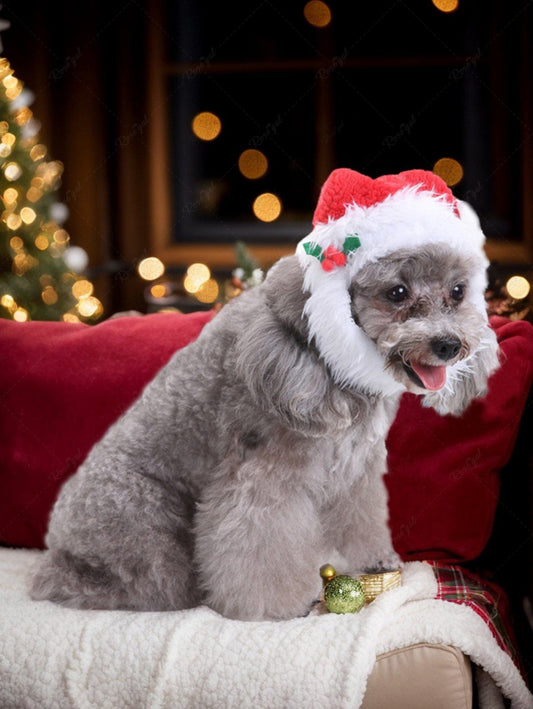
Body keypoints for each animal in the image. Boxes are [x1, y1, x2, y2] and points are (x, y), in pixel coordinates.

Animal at [30, 169, 498, 616]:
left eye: (458, 292)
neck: (324, 355)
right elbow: (260, 544)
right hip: (144, 521)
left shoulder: (356, 468)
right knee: (135, 583)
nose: (448, 345)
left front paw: (374, 562)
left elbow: (360, 518)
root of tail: (56, 537)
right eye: (397, 293)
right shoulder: (265, 475)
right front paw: (279, 605)